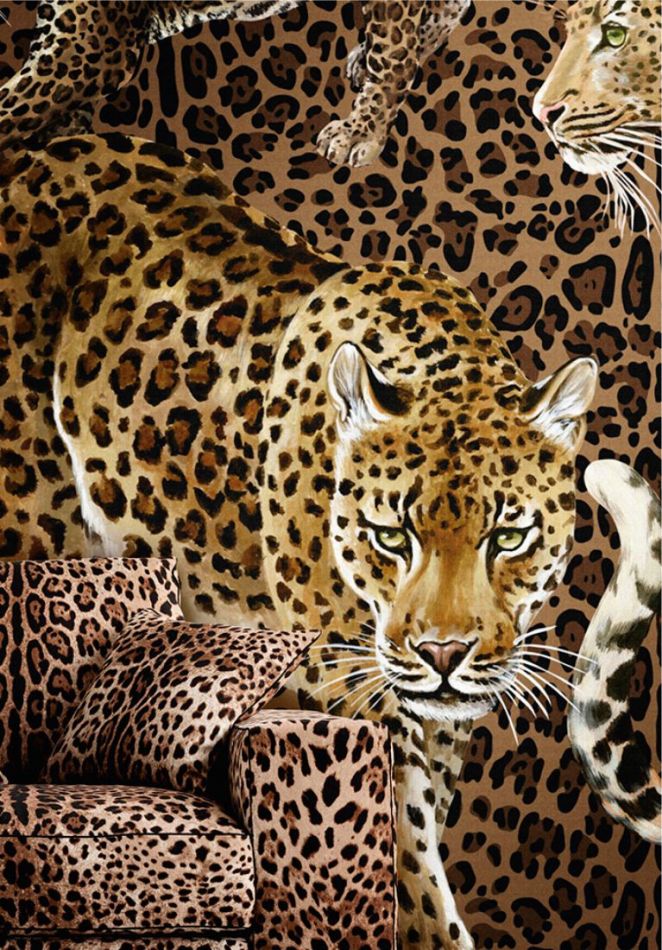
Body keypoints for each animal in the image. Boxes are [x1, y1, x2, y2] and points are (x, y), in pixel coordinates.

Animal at [1, 131, 658, 947]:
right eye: (390, 535)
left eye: (508, 536)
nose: (444, 654)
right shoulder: (359, 715)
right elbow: (408, 887)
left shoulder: (434, 734)